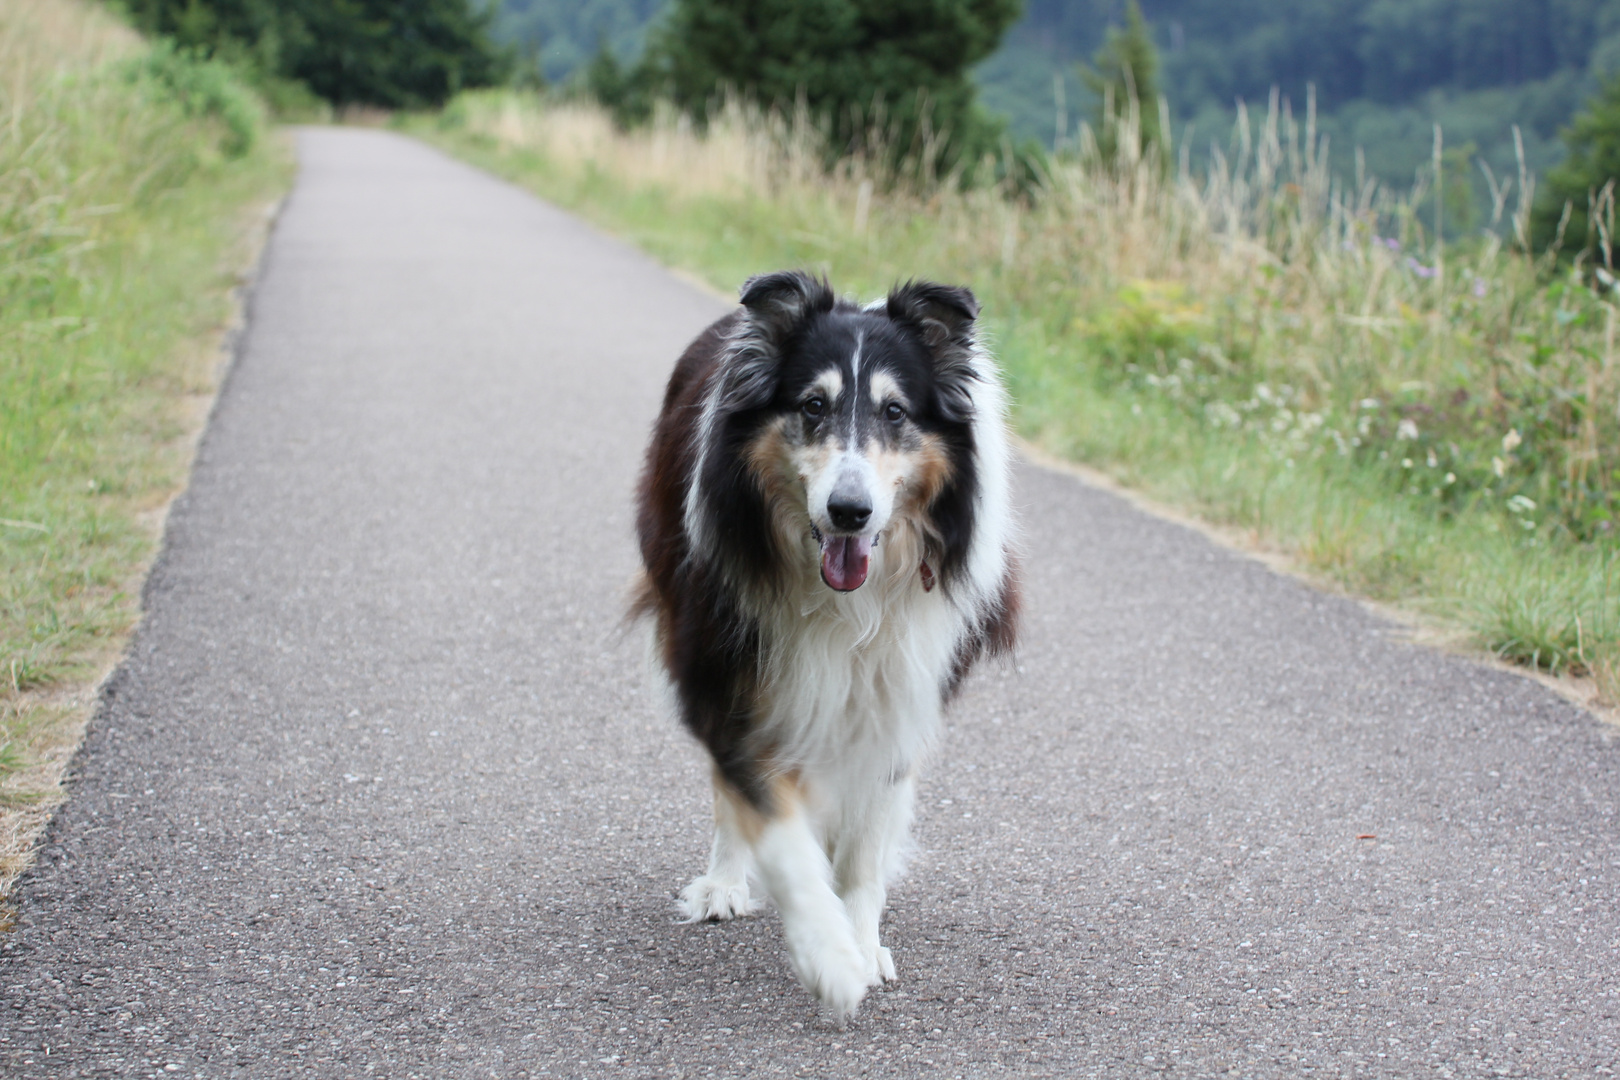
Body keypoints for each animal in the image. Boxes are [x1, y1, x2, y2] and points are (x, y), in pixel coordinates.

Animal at [628, 272, 1010, 1023]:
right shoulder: (730, 675)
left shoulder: (899, 690)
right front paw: (829, 959)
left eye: (895, 412)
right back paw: (723, 885)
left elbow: (863, 850)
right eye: (812, 405)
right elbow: (775, 826)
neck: (845, 604)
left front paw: (860, 944)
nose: (849, 513)